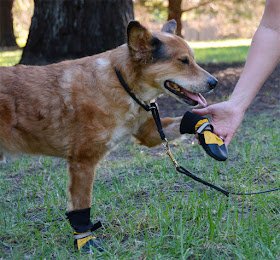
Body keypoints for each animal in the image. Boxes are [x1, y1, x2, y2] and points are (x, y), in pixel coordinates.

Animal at [0, 20, 218, 252]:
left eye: (192, 59)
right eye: (183, 61)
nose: (214, 83)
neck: (121, 81)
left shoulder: (148, 133)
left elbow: (189, 120)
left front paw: (208, 130)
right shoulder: (83, 161)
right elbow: (81, 207)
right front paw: (85, 240)